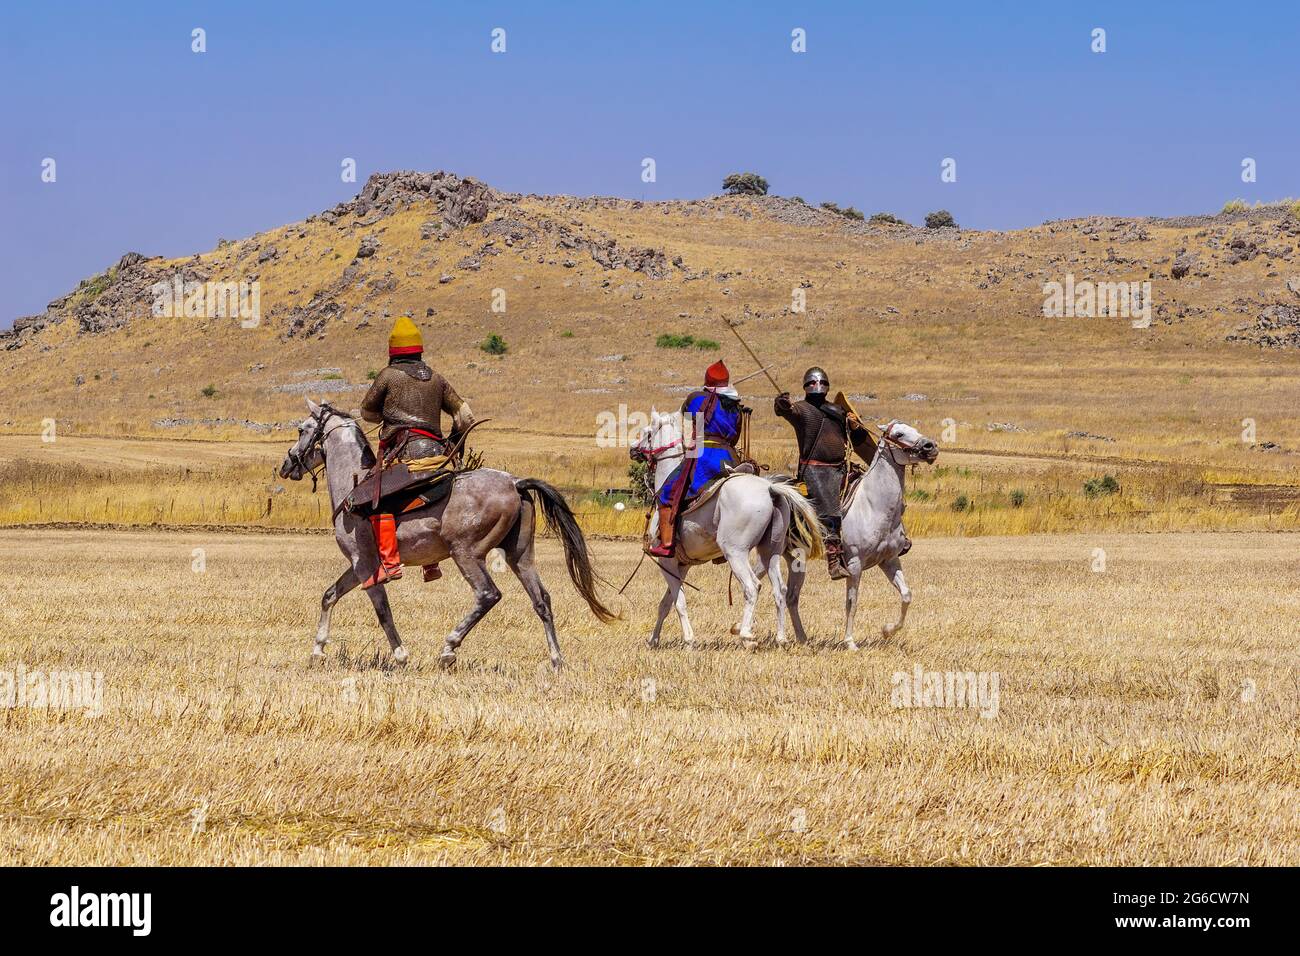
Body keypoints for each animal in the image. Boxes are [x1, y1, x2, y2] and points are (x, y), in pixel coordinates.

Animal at [275, 400, 618, 671]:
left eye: (302, 429)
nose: (287, 463)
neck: (352, 483)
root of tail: (515, 482)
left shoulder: (364, 564)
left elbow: (382, 610)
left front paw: (401, 655)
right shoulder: (357, 565)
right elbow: (329, 595)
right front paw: (317, 650)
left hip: (465, 553)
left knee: (488, 594)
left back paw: (448, 648)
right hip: (520, 555)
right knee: (541, 600)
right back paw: (556, 659)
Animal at [629, 411, 821, 650]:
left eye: (647, 433)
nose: (632, 449)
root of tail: (770, 489)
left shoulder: (667, 562)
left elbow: (679, 602)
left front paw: (689, 641)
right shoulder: (682, 566)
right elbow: (665, 604)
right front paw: (653, 640)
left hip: (735, 552)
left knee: (752, 587)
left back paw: (747, 635)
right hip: (772, 552)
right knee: (781, 591)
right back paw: (781, 638)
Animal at [780, 421, 935, 655]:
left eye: (915, 430)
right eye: (899, 434)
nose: (930, 446)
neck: (873, 505)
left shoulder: (889, 560)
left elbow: (906, 595)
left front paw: (887, 630)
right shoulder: (854, 565)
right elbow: (851, 603)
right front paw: (850, 642)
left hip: (794, 560)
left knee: (790, 597)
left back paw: (801, 638)